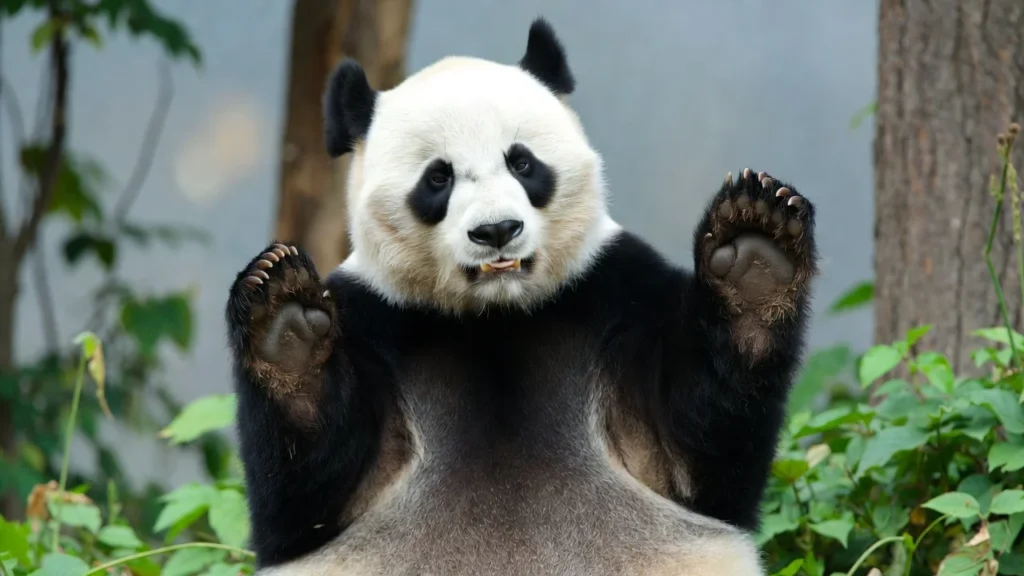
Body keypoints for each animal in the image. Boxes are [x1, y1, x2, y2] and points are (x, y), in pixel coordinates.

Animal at [225, 17, 816, 576]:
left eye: (522, 162)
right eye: (437, 178)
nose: (496, 231)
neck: (496, 313)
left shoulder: (613, 294)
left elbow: (702, 449)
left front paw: (754, 252)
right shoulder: (375, 319)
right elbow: (303, 501)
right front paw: (286, 324)